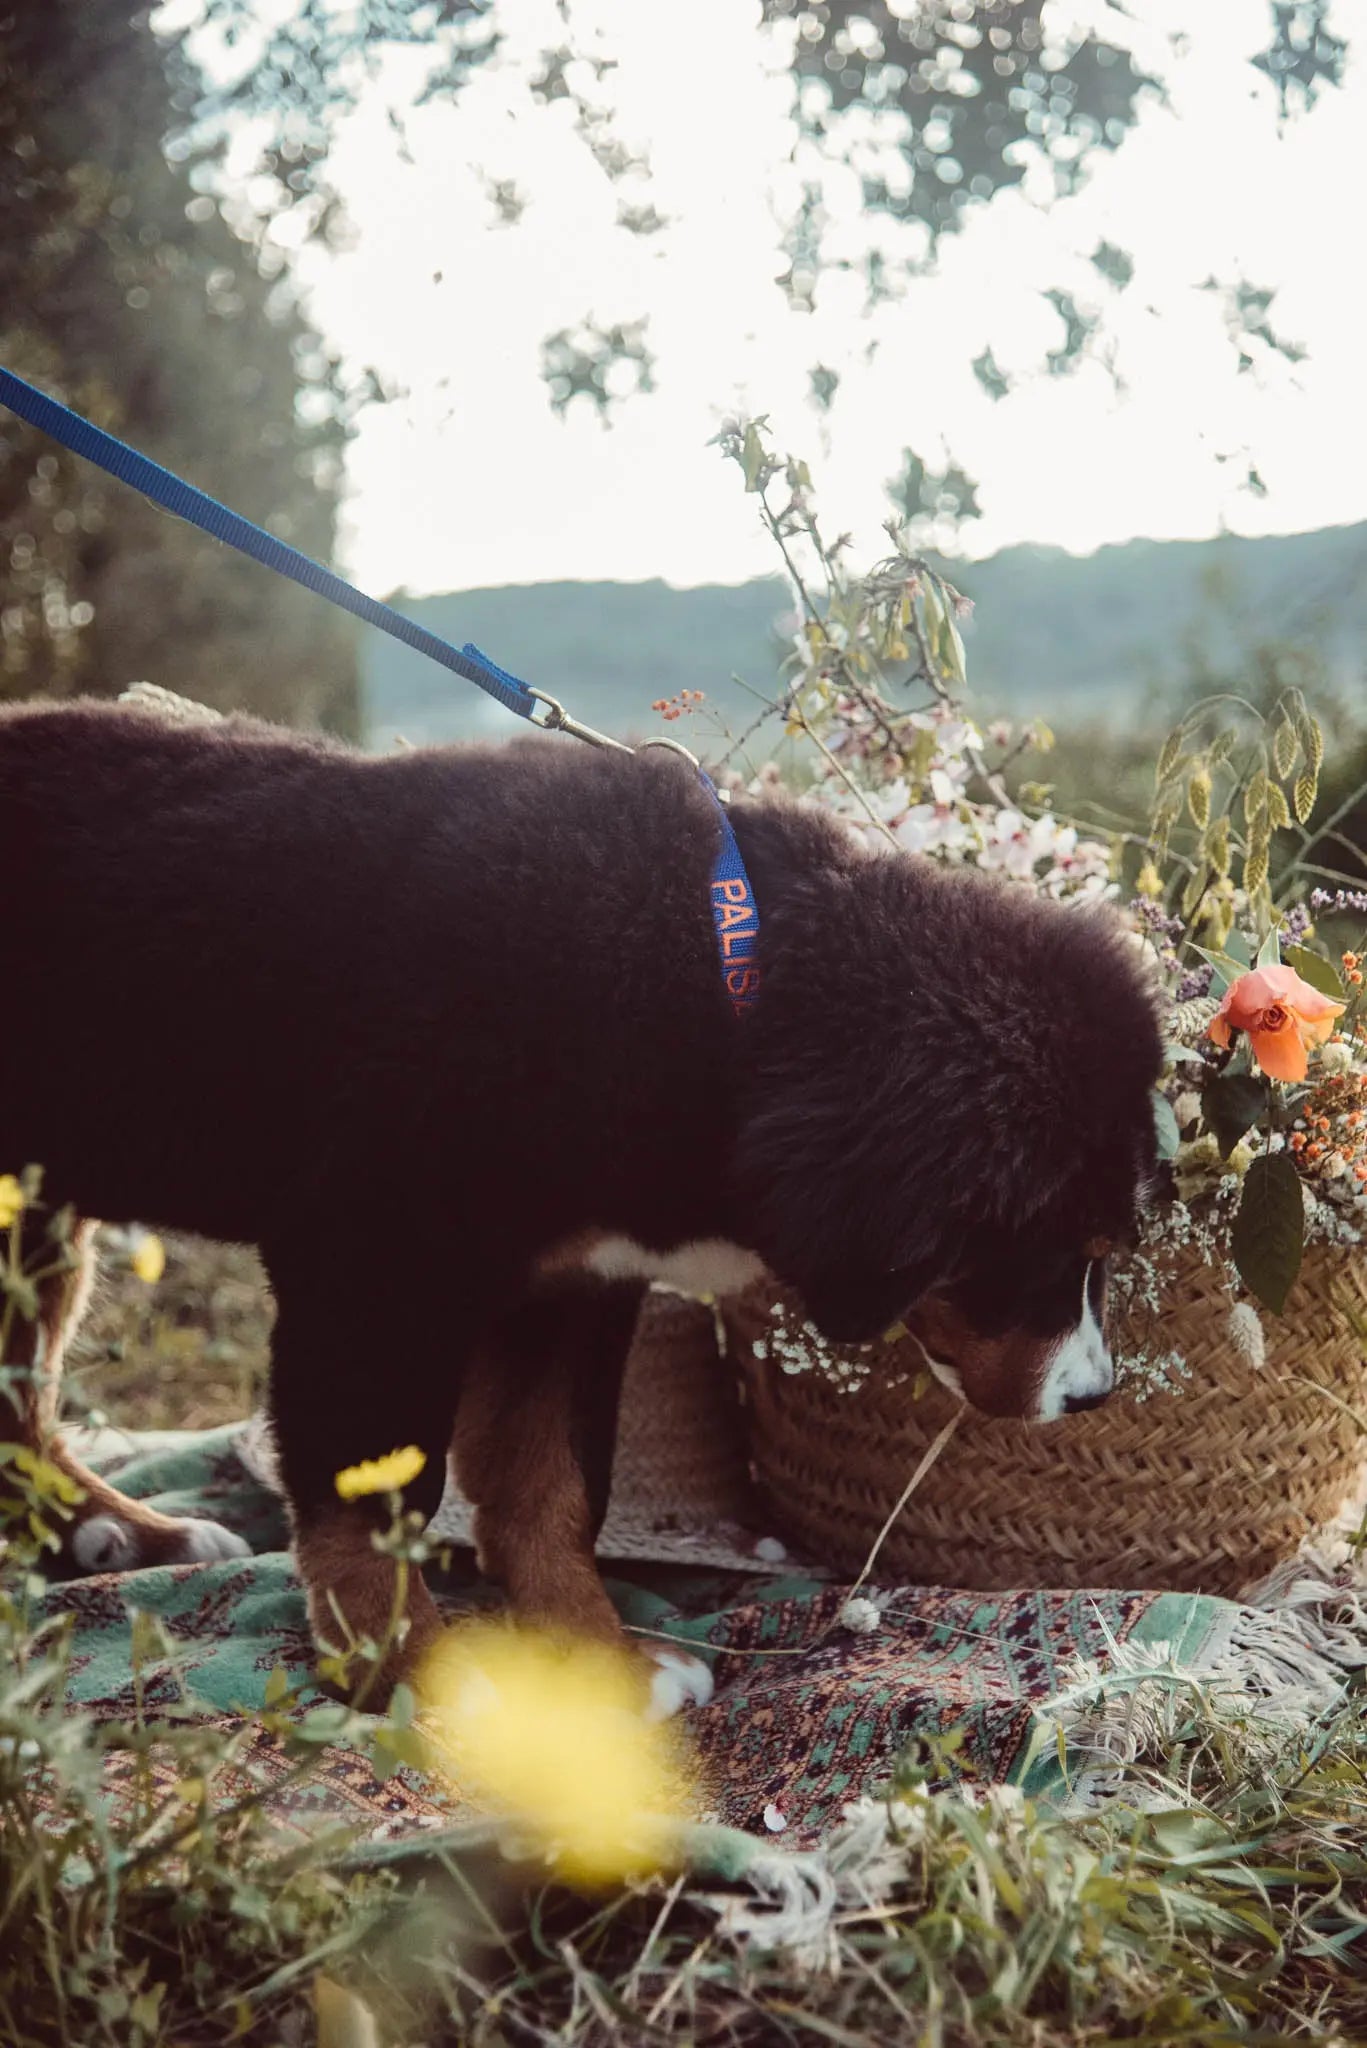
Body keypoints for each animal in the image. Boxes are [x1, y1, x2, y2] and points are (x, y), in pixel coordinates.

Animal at [0, 704, 1164, 1712]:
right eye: (1053, 1252)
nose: (1094, 1395)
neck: (715, 993)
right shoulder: (371, 1269)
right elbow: (375, 1500)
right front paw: (426, 1673)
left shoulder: (576, 1283)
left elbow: (549, 1484)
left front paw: (594, 1656)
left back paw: (115, 1532)